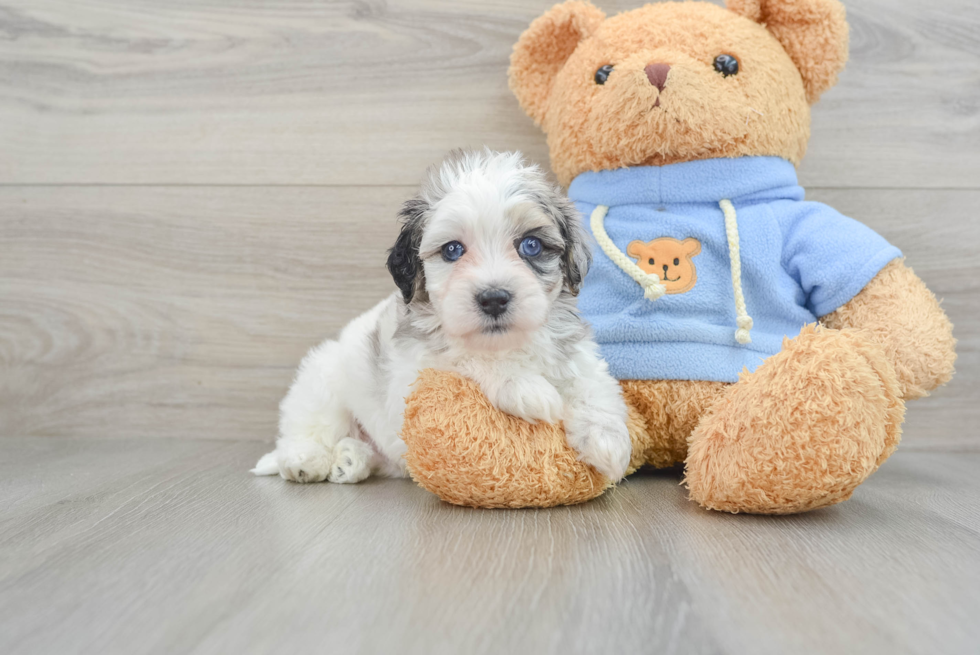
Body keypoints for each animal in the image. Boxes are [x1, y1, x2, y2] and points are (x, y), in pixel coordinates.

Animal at [253, 151, 632, 484]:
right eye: (452, 250)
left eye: (531, 245)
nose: (493, 299)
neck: (507, 343)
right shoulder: (413, 373)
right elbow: (463, 356)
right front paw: (525, 386)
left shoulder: (573, 350)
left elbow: (591, 381)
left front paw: (608, 440)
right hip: (322, 380)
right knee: (309, 426)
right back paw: (305, 460)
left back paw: (350, 460)